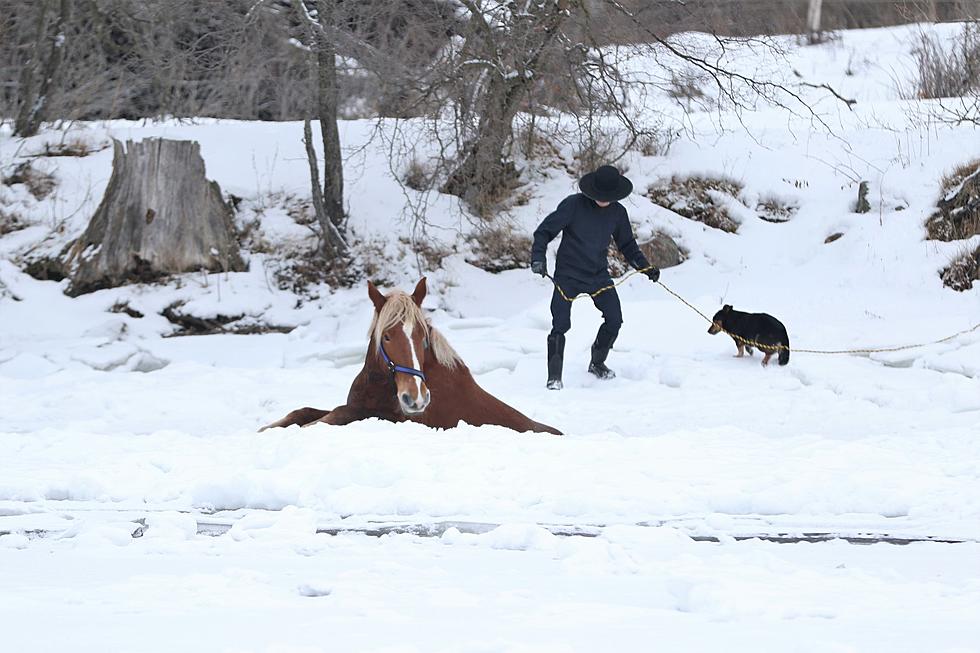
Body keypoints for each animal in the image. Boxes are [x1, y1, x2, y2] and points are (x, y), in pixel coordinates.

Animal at [260, 278, 564, 436]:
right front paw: (267, 428)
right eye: (386, 336)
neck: (380, 388)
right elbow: (304, 411)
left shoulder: (384, 418)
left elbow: (335, 415)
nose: (416, 398)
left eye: (422, 336)